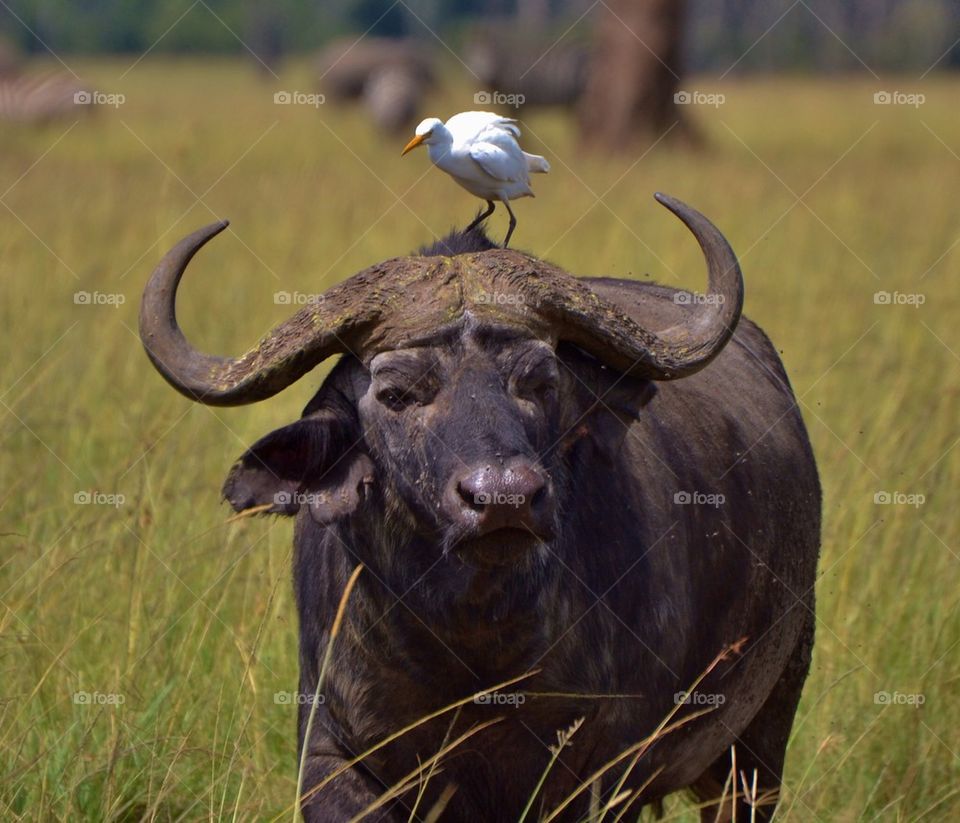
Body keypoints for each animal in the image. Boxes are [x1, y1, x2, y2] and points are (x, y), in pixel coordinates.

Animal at [141, 195, 816, 823]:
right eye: (396, 394)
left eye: (541, 382)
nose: (504, 498)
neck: (465, 645)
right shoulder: (331, 757)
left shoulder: (606, 773)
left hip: (760, 740)